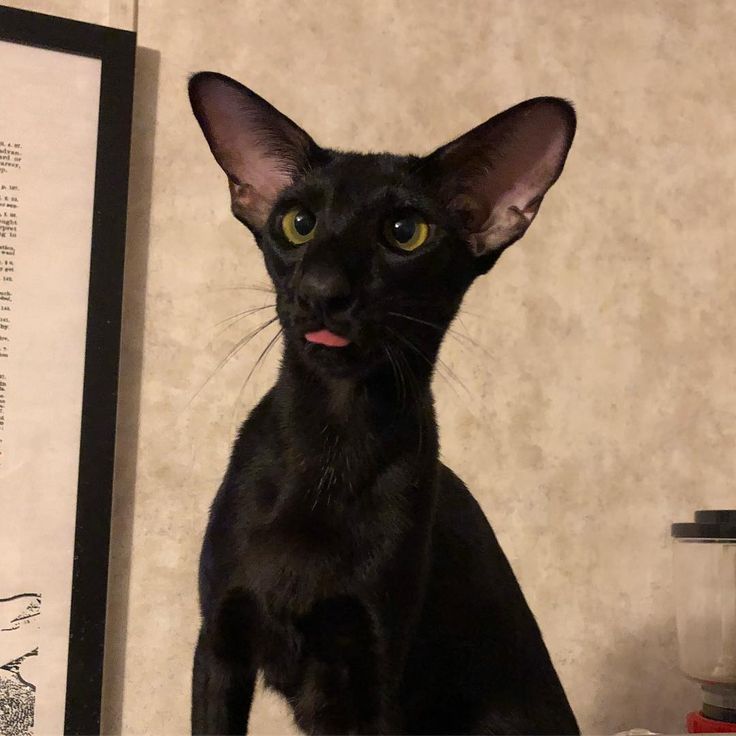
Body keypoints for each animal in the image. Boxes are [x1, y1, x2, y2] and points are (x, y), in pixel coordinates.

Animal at [187, 70, 576, 736]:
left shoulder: (370, 679)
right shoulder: (217, 645)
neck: (330, 443)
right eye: (298, 223)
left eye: (404, 233)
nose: (322, 292)